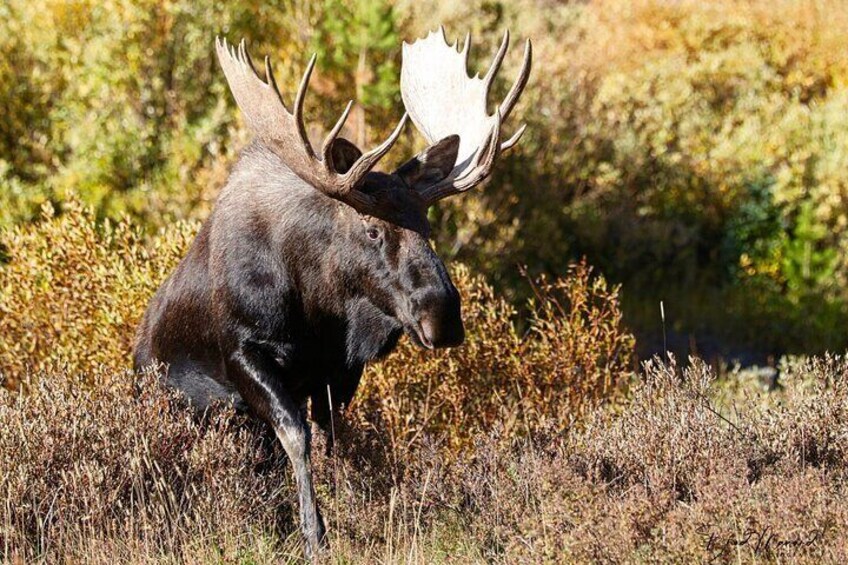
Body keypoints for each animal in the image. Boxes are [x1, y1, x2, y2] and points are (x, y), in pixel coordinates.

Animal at [132, 27, 528, 556]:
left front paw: (351, 512)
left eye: (429, 226)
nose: (441, 316)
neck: (320, 309)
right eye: (372, 229)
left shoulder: (340, 369)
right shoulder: (244, 352)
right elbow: (295, 436)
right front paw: (313, 533)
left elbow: (330, 439)